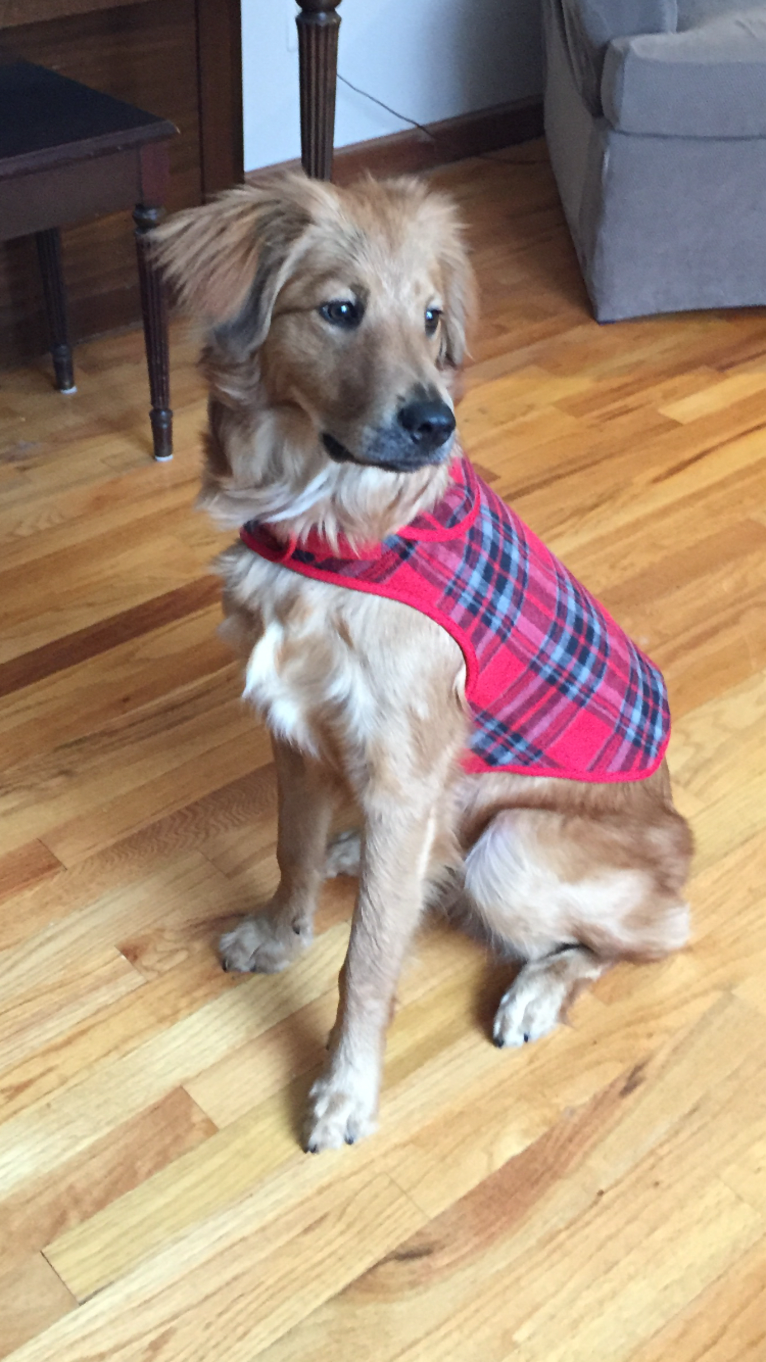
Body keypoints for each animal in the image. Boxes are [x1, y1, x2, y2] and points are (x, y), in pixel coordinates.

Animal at [153, 167, 686, 1149]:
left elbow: (364, 962)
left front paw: (345, 1089)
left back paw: (536, 990)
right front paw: (281, 935)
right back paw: (352, 852)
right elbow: (289, 851)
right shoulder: (294, 735)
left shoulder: (404, 780)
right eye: (340, 310)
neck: (331, 526)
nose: (436, 422)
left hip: (511, 847)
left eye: (432, 318)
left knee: (639, 940)